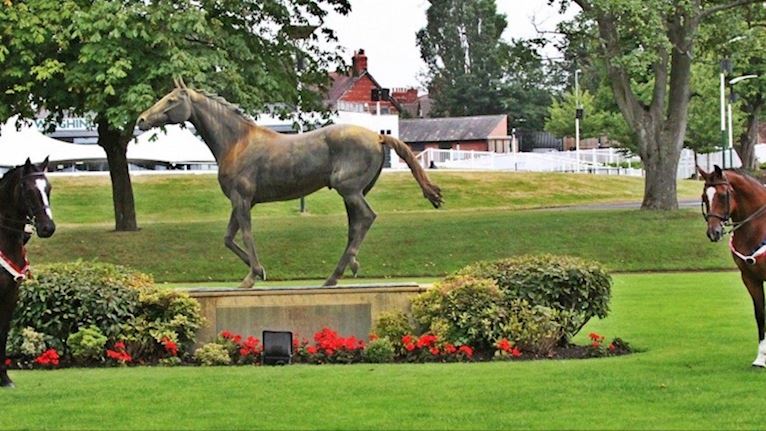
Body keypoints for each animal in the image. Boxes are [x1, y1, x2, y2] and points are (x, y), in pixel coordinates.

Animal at [135, 80, 440, 290]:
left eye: (171, 100)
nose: (141, 119)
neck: (237, 142)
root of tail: (378, 137)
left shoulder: (242, 199)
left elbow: (246, 234)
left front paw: (251, 276)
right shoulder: (241, 201)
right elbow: (228, 238)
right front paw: (260, 271)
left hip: (349, 190)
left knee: (365, 218)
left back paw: (336, 275)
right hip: (353, 193)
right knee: (355, 226)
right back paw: (342, 271)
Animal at [704, 165, 766, 368]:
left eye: (723, 195)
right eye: (704, 196)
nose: (713, 232)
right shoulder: (750, 279)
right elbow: (760, 314)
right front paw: (761, 358)